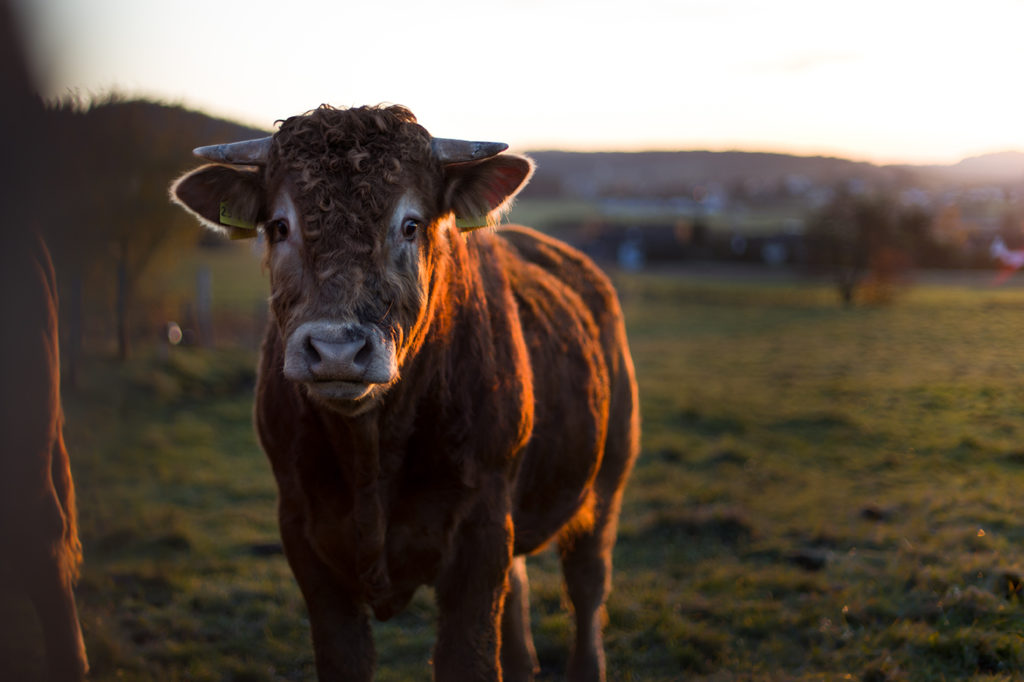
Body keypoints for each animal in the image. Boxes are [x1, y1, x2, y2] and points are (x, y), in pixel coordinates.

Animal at [173, 103, 638, 675]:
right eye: (279, 226)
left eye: (411, 225)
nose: (337, 350)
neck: (372, 451)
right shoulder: (304, 538)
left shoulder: (481, 532)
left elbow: (469, 656)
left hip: (608, 477)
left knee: (588, 584)